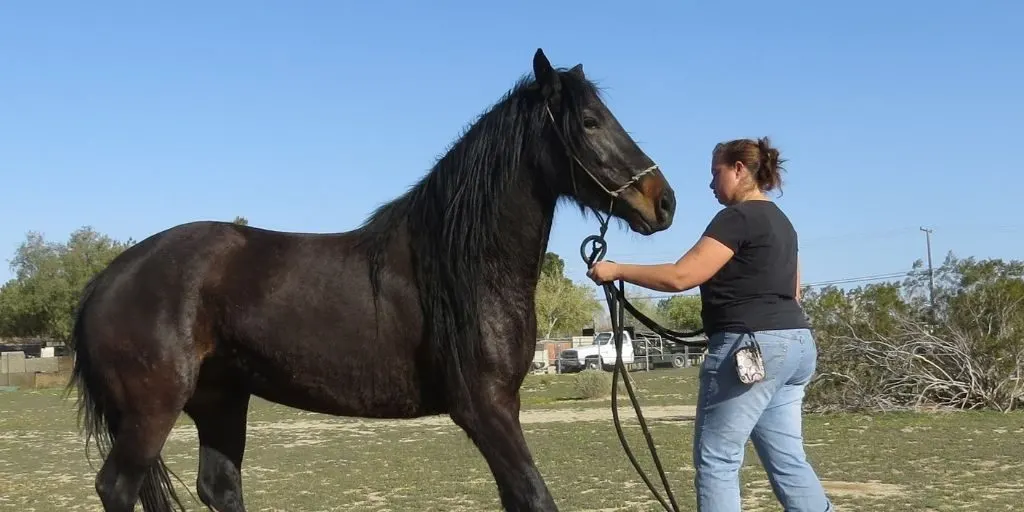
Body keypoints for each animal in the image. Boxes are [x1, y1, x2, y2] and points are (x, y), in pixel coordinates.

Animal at [70, 48, 679, 512]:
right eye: (589, 122)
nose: (664, 201)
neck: (463, 268)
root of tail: (107, 279)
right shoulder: (486, 410)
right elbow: (534, 497)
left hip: (220, 402)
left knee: (218, 488)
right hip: (151, 412)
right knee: (117, 488)